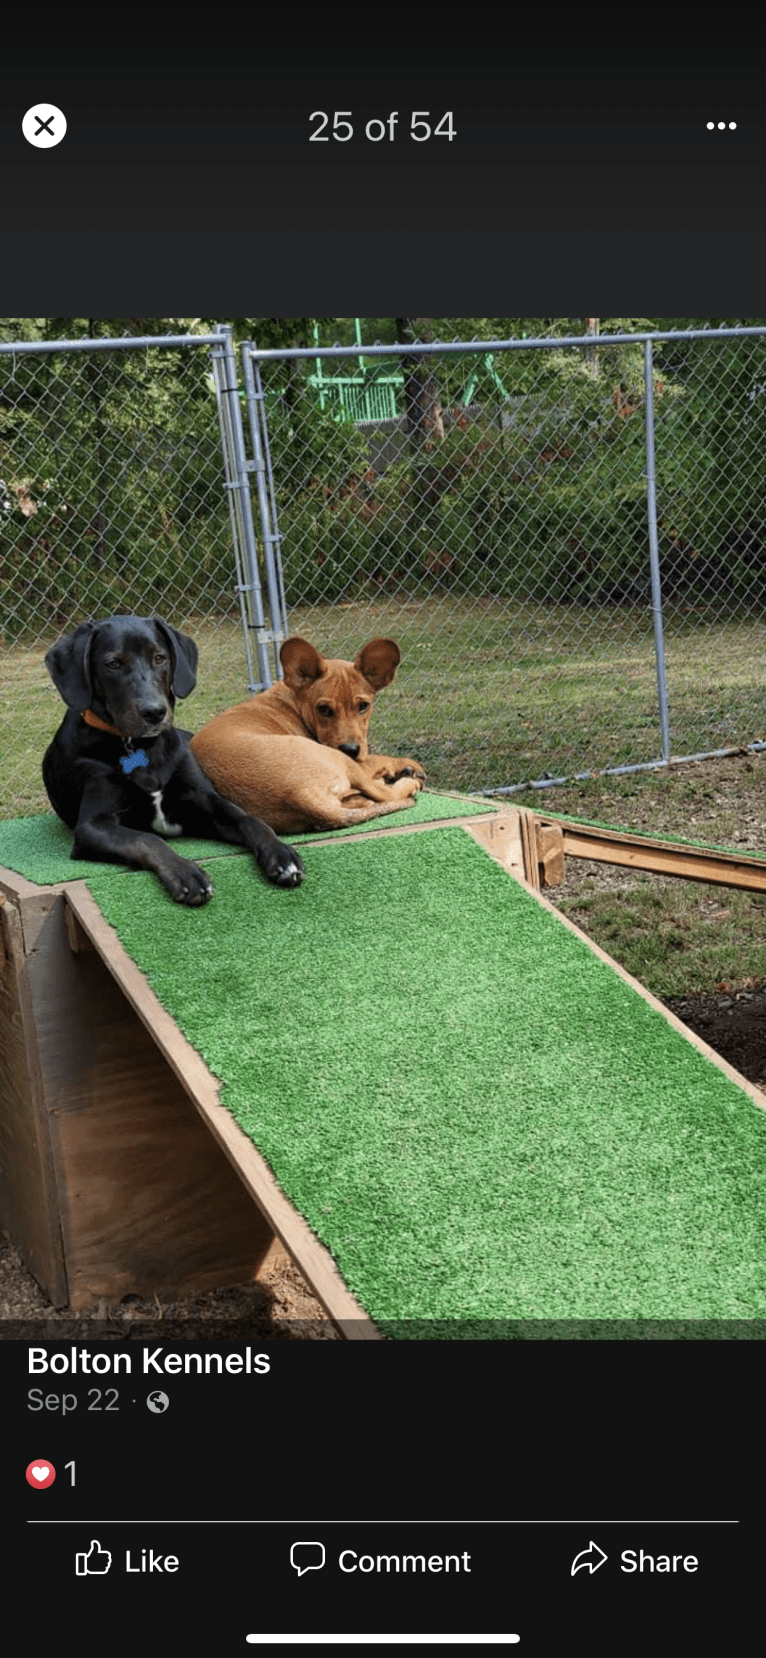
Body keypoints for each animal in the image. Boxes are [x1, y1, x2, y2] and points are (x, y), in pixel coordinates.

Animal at [42, 616, 305, 908]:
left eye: (159, 658)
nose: (155, 712)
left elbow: (250, 819)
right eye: (113, 663)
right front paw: (185, 873)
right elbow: (146, 839)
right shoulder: (91, 826)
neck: (140, 746)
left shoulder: (205, 800)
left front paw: (280, 853)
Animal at [185, 636, 424, 835]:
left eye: (364, 706)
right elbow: (375, 758)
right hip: (340, 760)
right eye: (324, 710)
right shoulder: (357, 760)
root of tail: (300, 797)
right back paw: (405, 782)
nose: (351, 749)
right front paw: (406, 765)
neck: (295, 702)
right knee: (384, 793)